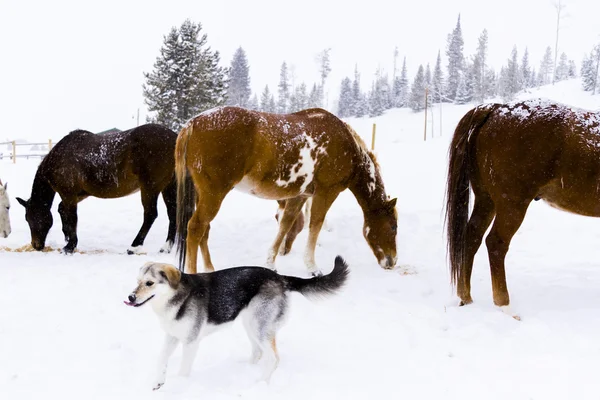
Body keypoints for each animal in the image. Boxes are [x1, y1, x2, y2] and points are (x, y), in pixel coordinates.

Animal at [15, 123, 177, 255]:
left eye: (31, 218)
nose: (36, 245)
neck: (60, 157)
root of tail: (174, 137)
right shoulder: (81, 193)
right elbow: (62, 210)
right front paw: (67, 237)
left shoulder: (68, 194)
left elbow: (72, 216)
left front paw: (70, 246)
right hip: (168, 187)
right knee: (172, 213)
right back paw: (166, 248)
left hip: (150, 187)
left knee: (150, 214)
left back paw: (134, 247)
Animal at [124, 255, 350, 390]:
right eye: (137, 281)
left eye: (149, 283)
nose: (130, 297)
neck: (177, 296)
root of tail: (280, 278)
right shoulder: (172, 336)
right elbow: (161, 359)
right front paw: (158, 382)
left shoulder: (190, 342)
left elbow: (183, 369)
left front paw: (180, 385)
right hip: (250, 324)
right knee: (259, 353)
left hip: (259, 326)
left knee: (273, 358)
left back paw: (261, 383)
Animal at [175, 106, 398, 276]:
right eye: (394, 227)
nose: (392, 261)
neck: (347, 148)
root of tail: (193, 123)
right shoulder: (326, 192)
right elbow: (315, 225)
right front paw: (312, 267)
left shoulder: (300, 195)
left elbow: (285, 225)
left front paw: (271, 263)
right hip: (214, 194)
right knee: (195, 228)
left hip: (202, 195)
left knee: (204, 230)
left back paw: (210, 269)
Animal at [448, 99, 600, 316]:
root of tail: (496, 109)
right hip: (513, 204)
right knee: (495, 243)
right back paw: (505, 306)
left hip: (486, 200)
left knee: (472, 237)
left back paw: (466, 298)